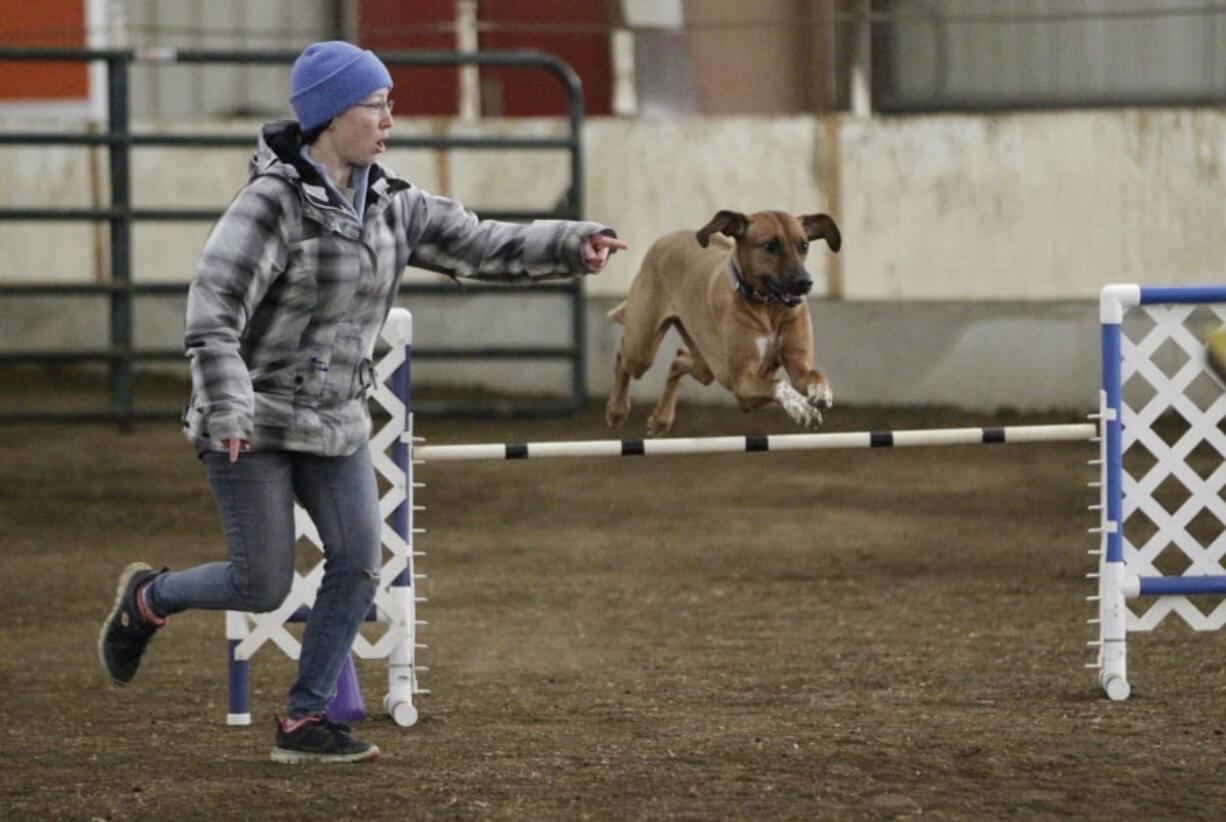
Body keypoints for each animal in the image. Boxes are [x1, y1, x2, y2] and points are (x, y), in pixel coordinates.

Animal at [605, 211, 838, 436]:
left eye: (804, 245)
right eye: (770, 245)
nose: (805, 282)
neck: (767, 308)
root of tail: (665, 239)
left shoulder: (799, 366)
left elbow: (815, 374)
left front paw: (821, 393)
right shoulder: (742, 382)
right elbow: (780, 384)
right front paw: (802, 408)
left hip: (705, 363)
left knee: (679, 359)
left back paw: (661, 419)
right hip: (641, 349)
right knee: (623, 356)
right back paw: (617, 410)